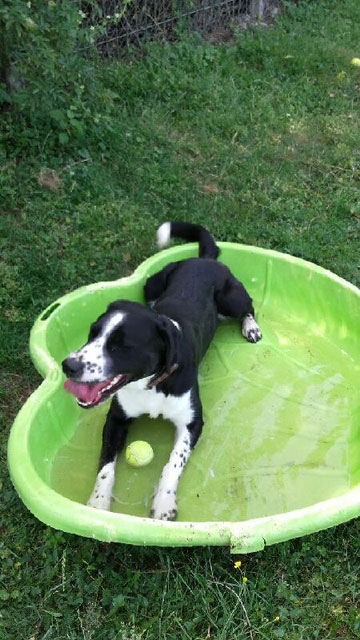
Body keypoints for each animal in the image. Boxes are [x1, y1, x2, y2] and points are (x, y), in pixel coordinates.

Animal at [62, 224, 262, 520]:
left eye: (121, 345)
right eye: (92, 333)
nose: (68, 365)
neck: (151, 384)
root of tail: (204, 260)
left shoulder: (192, 422)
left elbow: (173, 462)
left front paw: (164, 503)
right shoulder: (116, 420)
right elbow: (105, 466)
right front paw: (98, 503)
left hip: (231, 298)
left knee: (248, 307)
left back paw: (251, 327)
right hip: (151, 284)